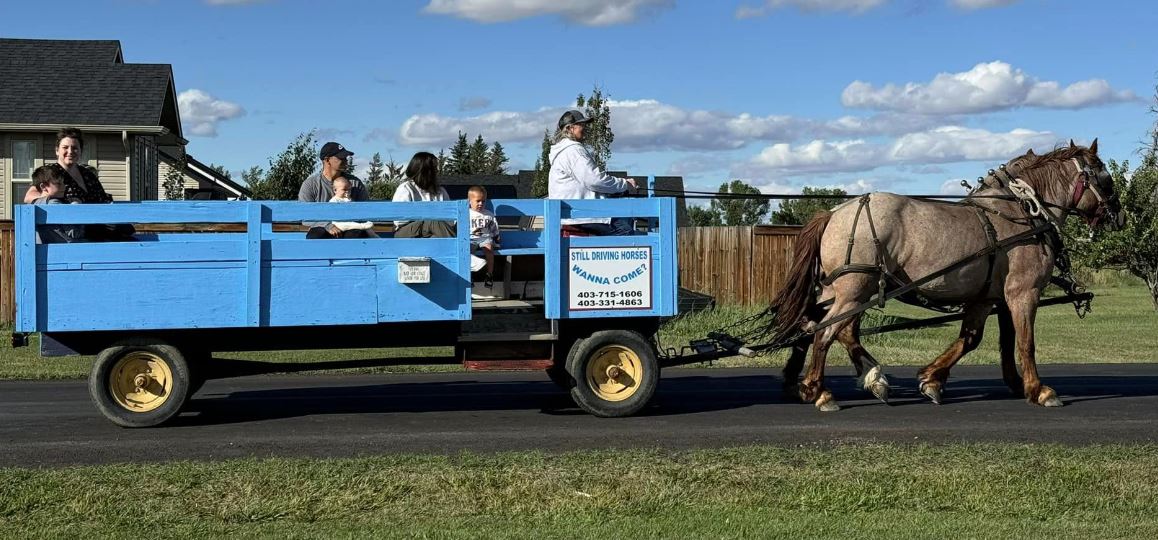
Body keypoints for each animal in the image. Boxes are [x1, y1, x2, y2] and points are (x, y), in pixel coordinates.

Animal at [768, 141, 1120, 410]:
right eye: (1105, 176)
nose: (1119, 215)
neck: (1021, 214)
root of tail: (834, 213)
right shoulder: (1023, 292)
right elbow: (1025, 342)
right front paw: (1039, 390)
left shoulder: (988, 297)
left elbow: (977, 339)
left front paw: (932, 379)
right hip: (855, 290)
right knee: (825, 332)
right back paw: (820, 391)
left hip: (841, 291)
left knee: (820, 325)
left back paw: (854, 379)